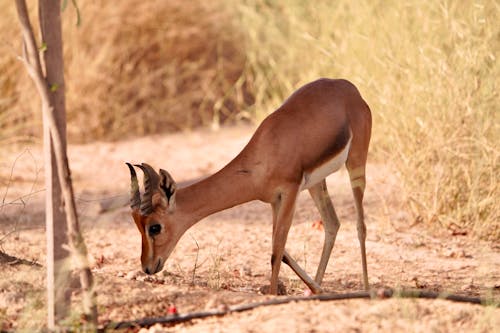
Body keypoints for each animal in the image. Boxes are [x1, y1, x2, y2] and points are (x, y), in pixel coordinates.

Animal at [127, 77, 374, 294]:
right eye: (137, 224)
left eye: (155, 227)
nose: (147, 267)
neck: (264, 153)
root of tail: (349, 88)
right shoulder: (275, 201)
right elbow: (281, 251)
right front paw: (315, 289)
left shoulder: (290, 192)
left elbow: (277, 250)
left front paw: (273, 296)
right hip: (316, 183)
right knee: (333, 223)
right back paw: (317, 290)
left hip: (356, 162)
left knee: (360, 225)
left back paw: (366, 289)